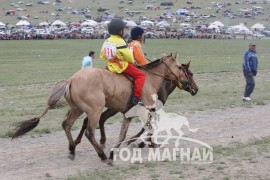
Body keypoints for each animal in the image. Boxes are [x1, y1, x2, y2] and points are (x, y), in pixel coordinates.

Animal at [11, 52, 194, 164]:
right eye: (181, 68)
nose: (192, 87)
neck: (150, 79)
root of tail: (71, 80)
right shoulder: (146, 110)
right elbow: (148, 128)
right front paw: (147, 143)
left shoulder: (128, 114)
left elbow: (123, 134)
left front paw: (118, 149)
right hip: (94, 110)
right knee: (89, 131)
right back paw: (102, 155)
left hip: (78, 109)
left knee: (67, 124)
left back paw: (73, 149)